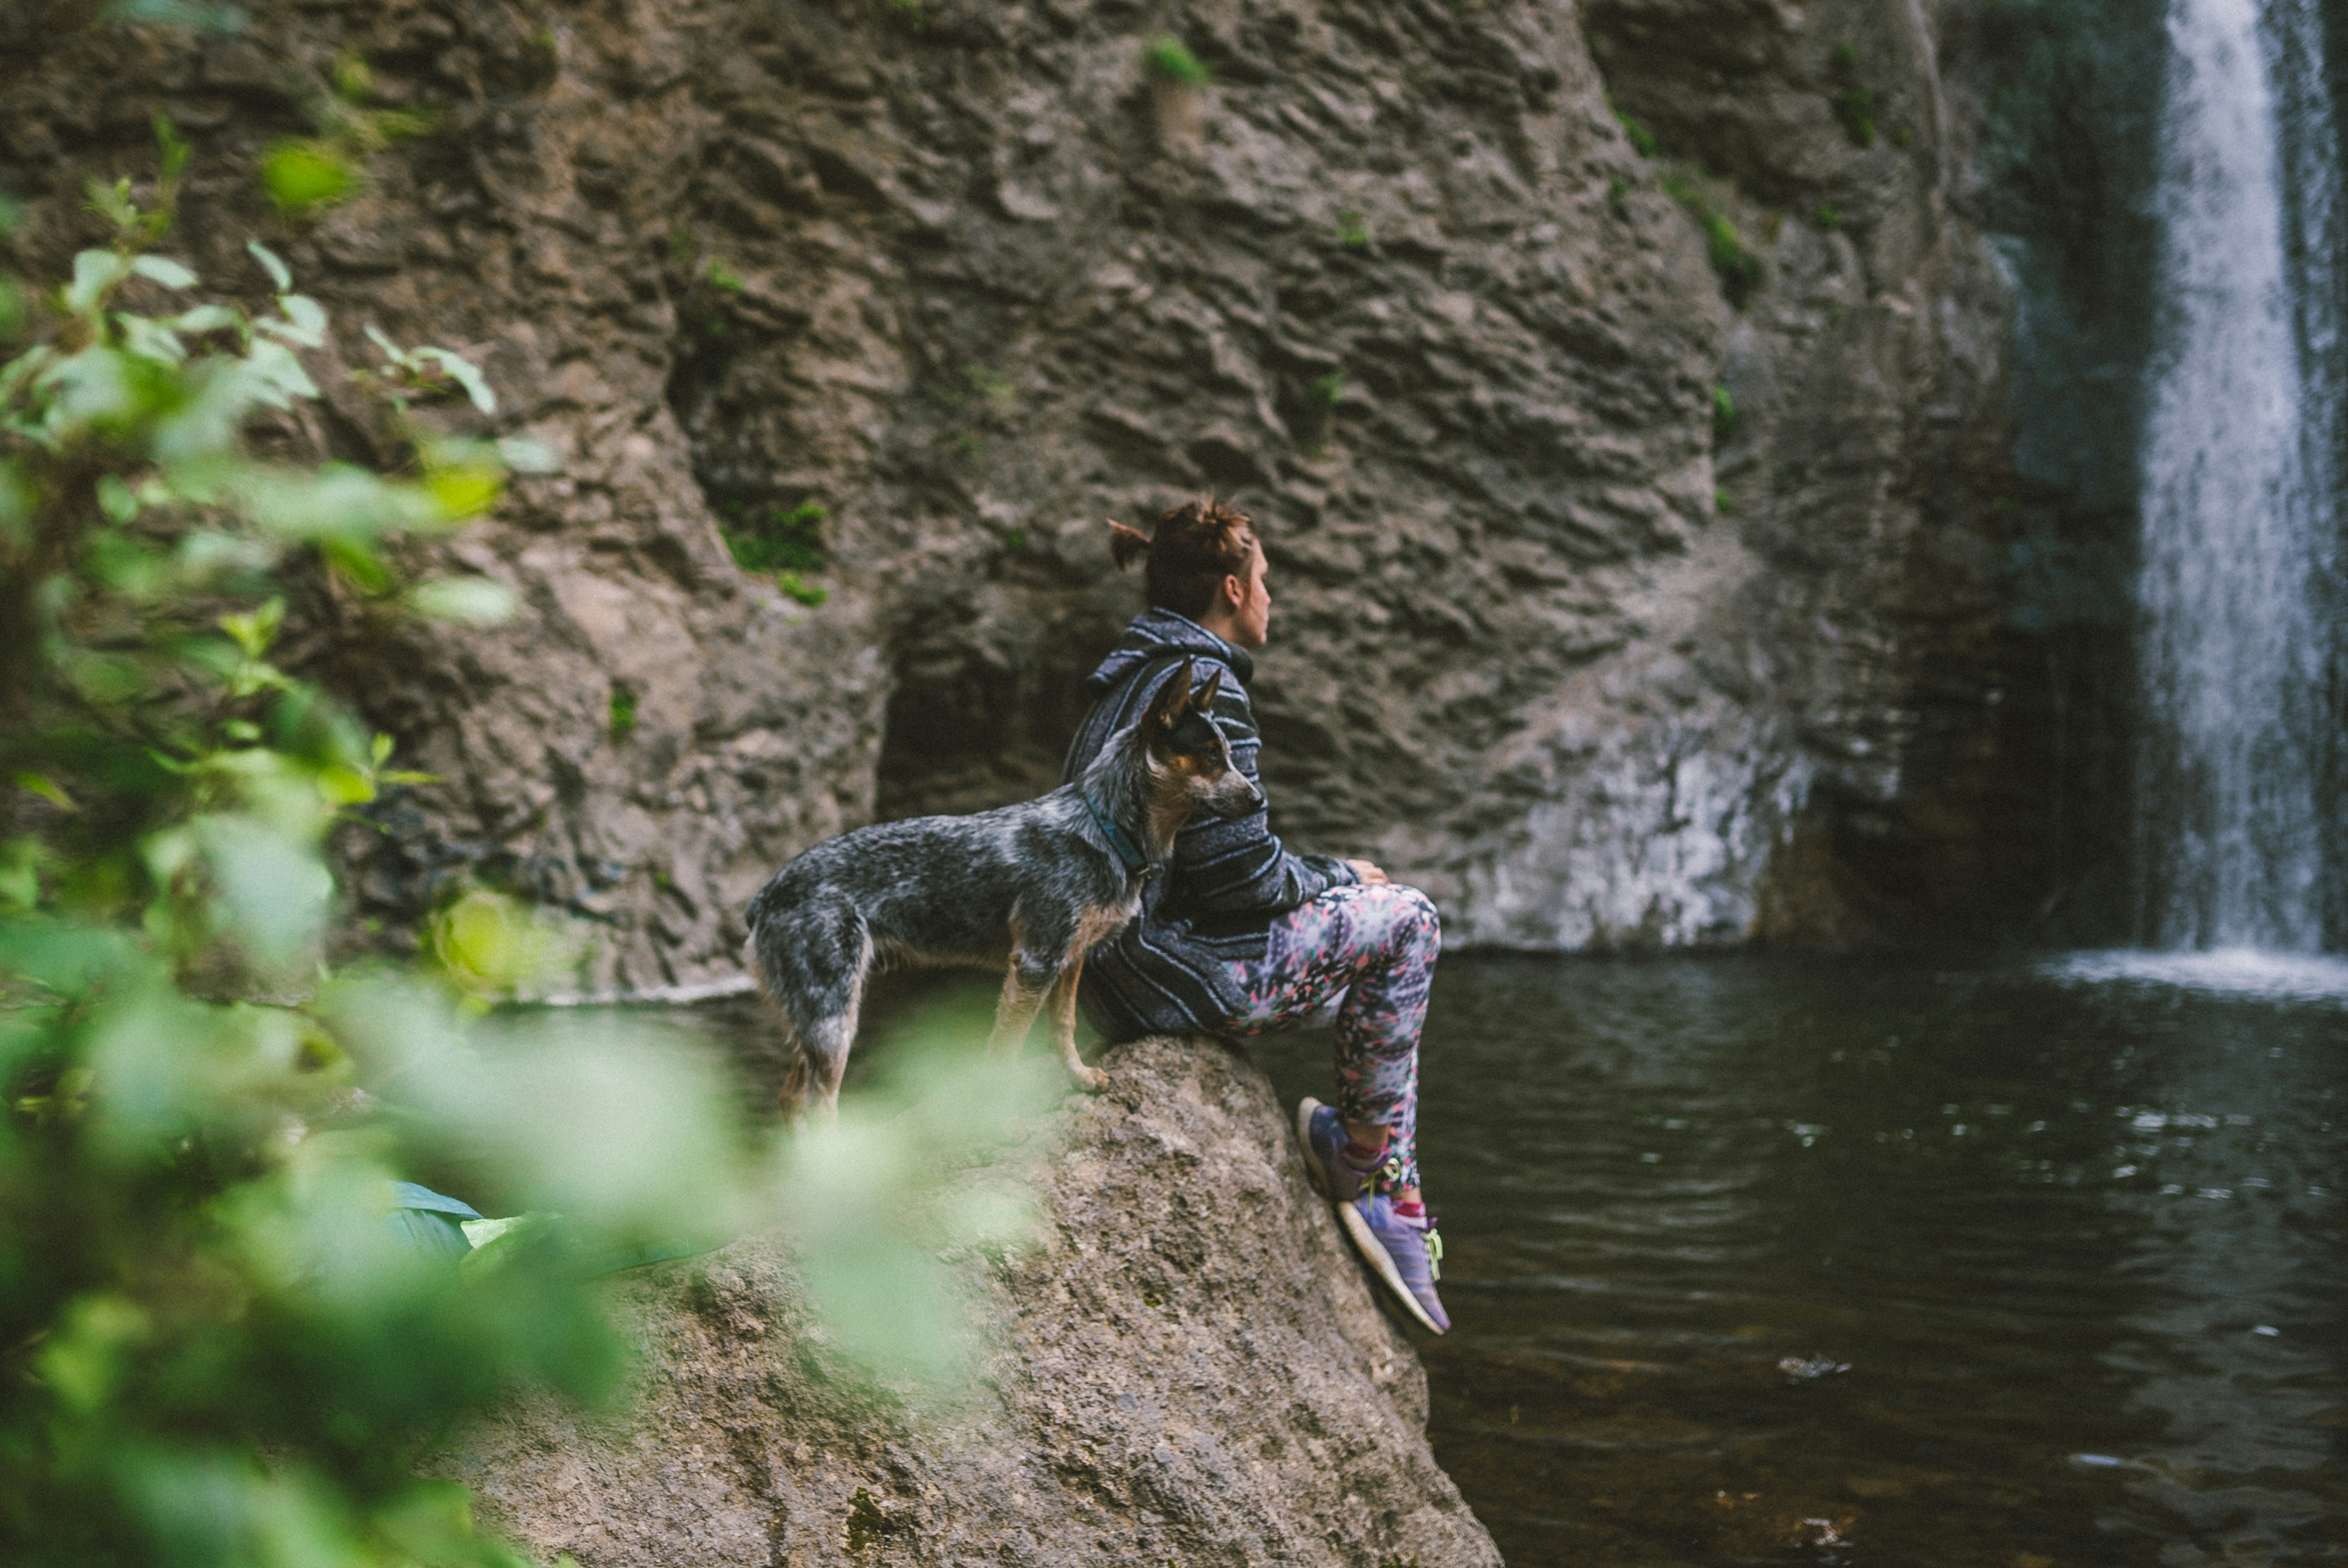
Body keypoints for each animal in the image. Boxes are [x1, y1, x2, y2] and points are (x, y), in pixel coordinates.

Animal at [751, 657, 1267, 1122]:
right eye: (1211, 754)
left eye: (1229, 752)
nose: (1259, 799)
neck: (1103, 830)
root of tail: (769, 893)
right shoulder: (1035, 964)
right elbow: (1007, 1050)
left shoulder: (1070, 960)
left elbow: (1063, 1027)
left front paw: (1080, 1077)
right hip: (834, 1014)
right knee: (818, 1106)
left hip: (814, 1019)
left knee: (791, 1099)